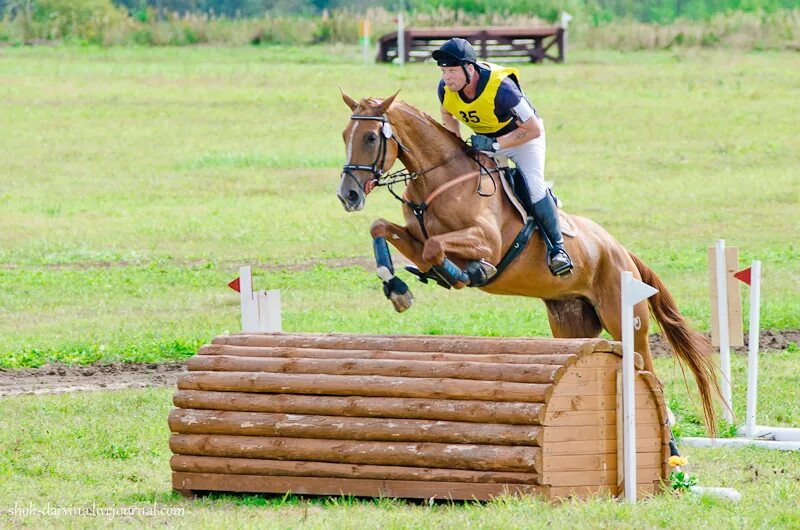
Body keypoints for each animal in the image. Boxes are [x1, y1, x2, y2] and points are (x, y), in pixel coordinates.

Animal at [334, 93, 720, 436]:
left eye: (370, 137)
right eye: (344, 135)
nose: (348, 195)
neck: (438, 180)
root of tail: (620, 250)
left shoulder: (487, 241)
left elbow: (436, 247)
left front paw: (468, 273)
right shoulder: (413, 238)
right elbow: (385, 229)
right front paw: (397, 288)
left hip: (624, 319)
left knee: (648, 371)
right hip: (571, 322)